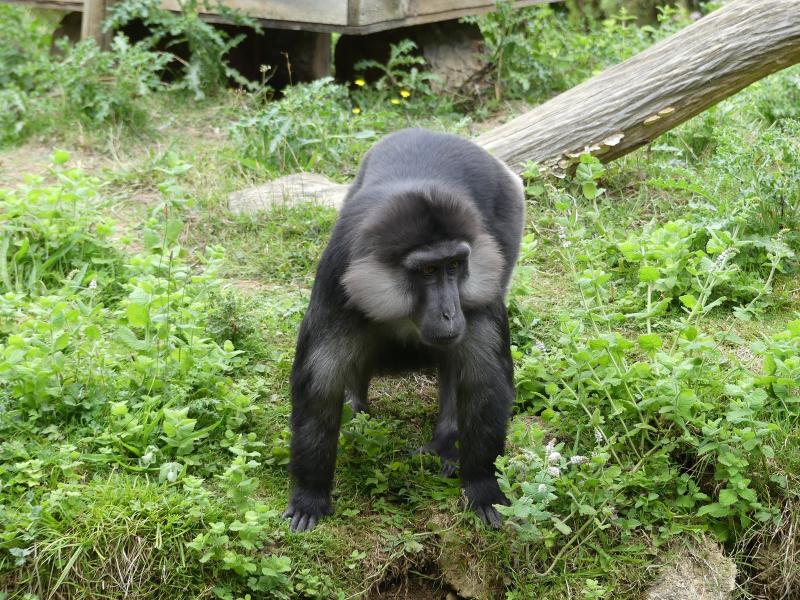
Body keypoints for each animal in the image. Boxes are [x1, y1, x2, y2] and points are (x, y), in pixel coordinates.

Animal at [284, 128, 525, 532]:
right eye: (428, 270)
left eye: (455, 265)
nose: (449, 313)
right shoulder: (338, 276)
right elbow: (320, 383)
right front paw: (310, 494)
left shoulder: (481, 283)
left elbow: (485, 381)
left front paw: (482, 486)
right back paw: (357, 411)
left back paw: (446, 442)